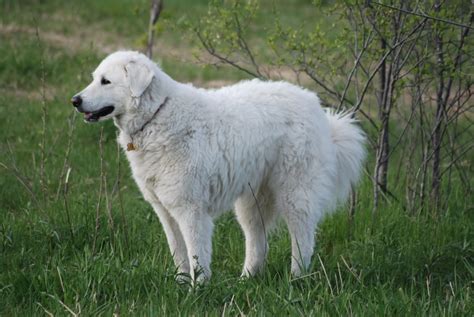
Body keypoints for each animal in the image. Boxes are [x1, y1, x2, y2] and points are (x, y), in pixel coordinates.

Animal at [71, 50, 366, 282]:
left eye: (106, 81)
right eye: (94, 78)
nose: (74, 101)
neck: (157, 115)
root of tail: (316, 107)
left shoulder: (191, 210)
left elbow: (197, 256)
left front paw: (197, 290)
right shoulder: (165, 211)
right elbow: (179, 254)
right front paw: (180, 286)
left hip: (295, 195)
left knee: (302, 240)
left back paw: (295, 279)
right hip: (251, 204)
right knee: (258, 243)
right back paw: (246, 280)